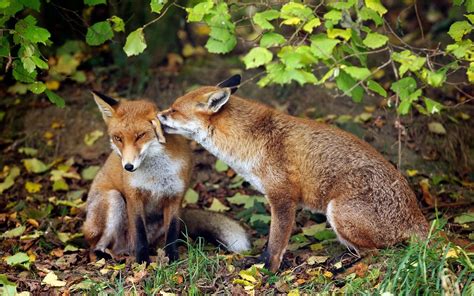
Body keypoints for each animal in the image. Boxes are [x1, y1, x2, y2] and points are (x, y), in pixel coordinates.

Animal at [157, 75, 428, 272]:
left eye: (174, 110)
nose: (158, 116)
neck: (251, 141)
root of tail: (418, 217)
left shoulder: (283, 198)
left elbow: (276, 243)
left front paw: (267, 270)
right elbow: (270, 242)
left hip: (337, 212)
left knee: (378, 252)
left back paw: (344, 265)